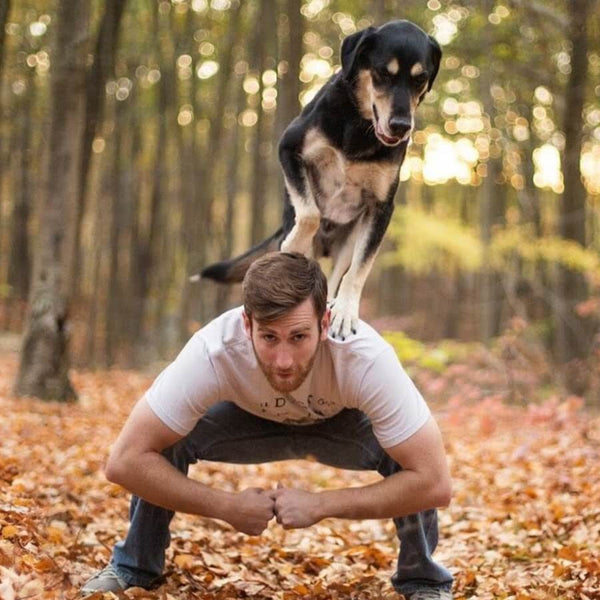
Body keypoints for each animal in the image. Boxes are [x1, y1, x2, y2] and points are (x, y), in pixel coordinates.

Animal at [199, 19, 438, 338]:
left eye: (420, 79)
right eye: (382, 73)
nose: (401, 126)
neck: (359, 125)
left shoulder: (381, 208)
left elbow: (360, 269)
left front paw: (346, 312)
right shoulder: (289, 150)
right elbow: (310, 214)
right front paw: (293, 245)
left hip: (349, 240)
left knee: (337, 274)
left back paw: (334, 303)